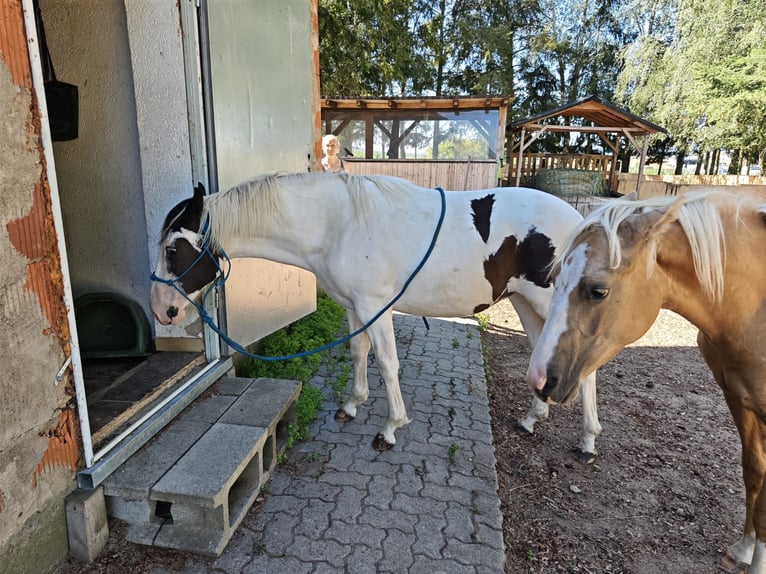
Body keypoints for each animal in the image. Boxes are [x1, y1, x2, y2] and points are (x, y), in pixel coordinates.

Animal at [150, 172, 600, 455]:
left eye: (172, 249)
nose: (161, 310)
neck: (336, 224)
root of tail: (583, 221)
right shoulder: (355, 306)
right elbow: (358, 352)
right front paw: (352, 404)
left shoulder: (374, 306)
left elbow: (386, 362)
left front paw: (390, 428)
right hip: (526, 303)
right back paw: (534, 418)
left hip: (547, 303)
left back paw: (588, 441)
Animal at [526, 189, 766, 573]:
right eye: (555, 277)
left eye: (598, 290)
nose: (538, 378)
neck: (753, 307)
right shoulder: (739, 400)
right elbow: (754, 474)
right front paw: (744, 549)